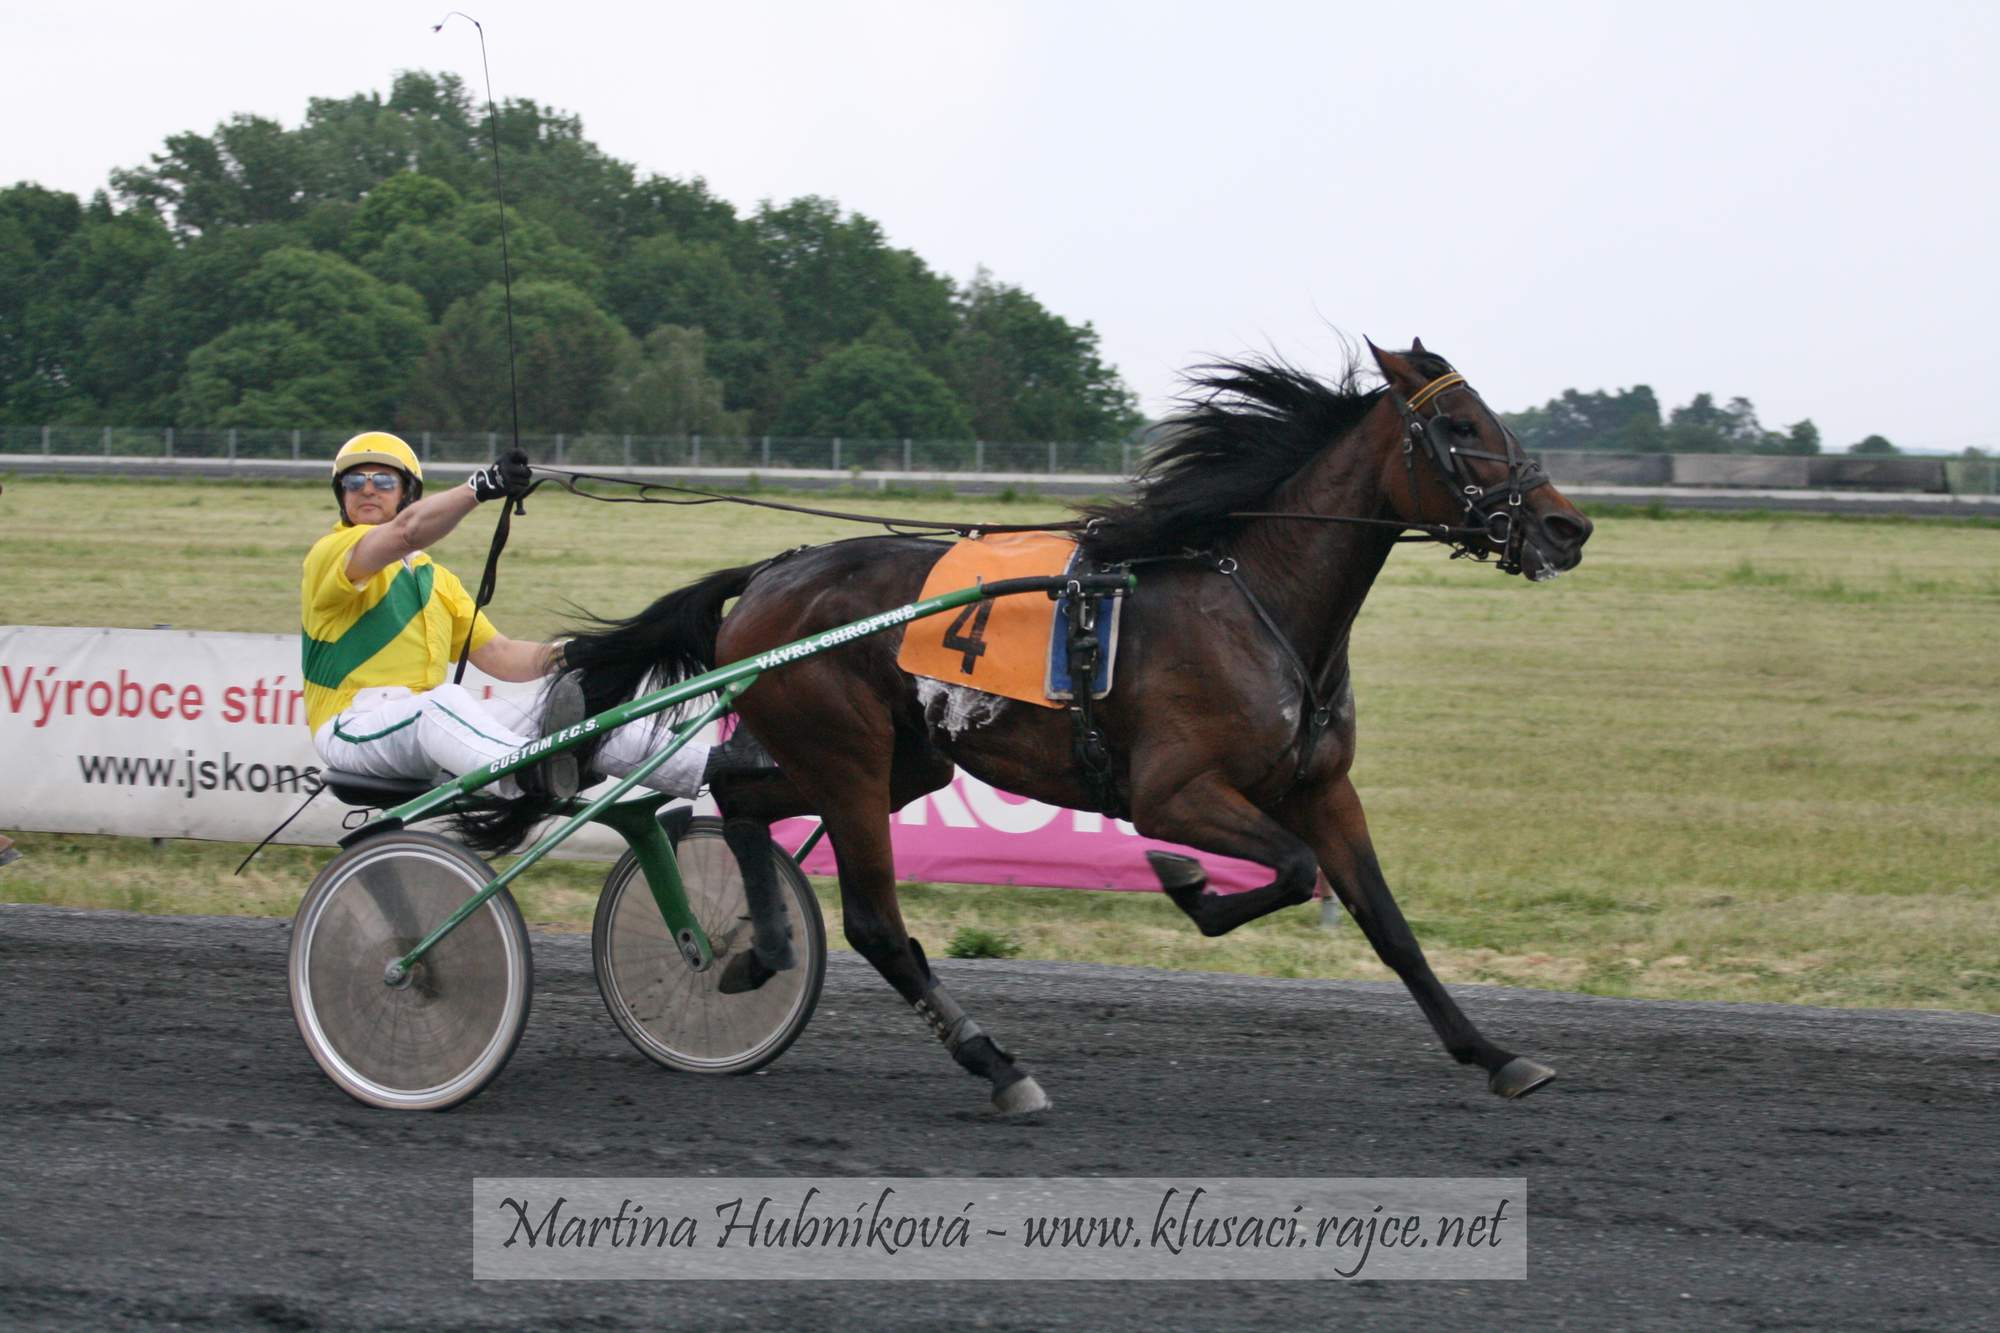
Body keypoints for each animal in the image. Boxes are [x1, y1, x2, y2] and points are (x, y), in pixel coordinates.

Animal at [516, 340, 1592, 1112]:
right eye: (1460, 423)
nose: (1566, 526)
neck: (1256, 607)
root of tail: (773, 574)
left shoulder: (1322, 786)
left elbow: (1387, 924)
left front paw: (1495, 1052)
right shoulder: (1175, 790)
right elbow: (1286, 870)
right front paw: (1188, 884)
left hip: (898, 760)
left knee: (736, 793)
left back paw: (760, 950)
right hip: (849, 756)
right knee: (874, 920)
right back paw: (995, 1063)